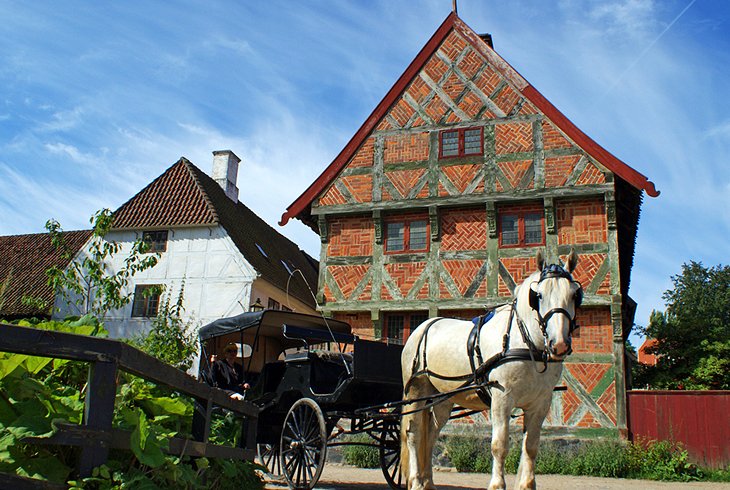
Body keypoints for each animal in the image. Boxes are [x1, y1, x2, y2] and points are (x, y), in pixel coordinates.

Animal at [398, 251, 580, 488]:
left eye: (575, 294)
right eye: (538, 296)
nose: (559, 344)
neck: (526, 342)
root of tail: (422, 327)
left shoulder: (540, 402)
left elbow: (531, 446)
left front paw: (526, 484)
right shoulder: (502, 398)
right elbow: (499, 445)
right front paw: (496, 484)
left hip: (442, 399)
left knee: (431, 434)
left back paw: (428, 481)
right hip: (415, 392)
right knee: (414, 434)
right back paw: (416, 481)